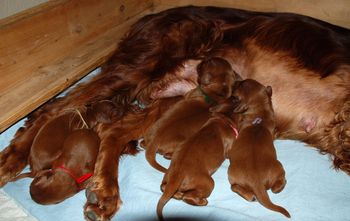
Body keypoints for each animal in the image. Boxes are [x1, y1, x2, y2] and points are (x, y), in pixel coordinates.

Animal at [227, 79, 290, 218]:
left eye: (240, 84)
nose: (236, 80)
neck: (260, 111)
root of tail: (257, 182)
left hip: (231, 173)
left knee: (234, 187)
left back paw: (250, 196)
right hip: (279, 167)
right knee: (276, 187)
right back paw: (280, 186)